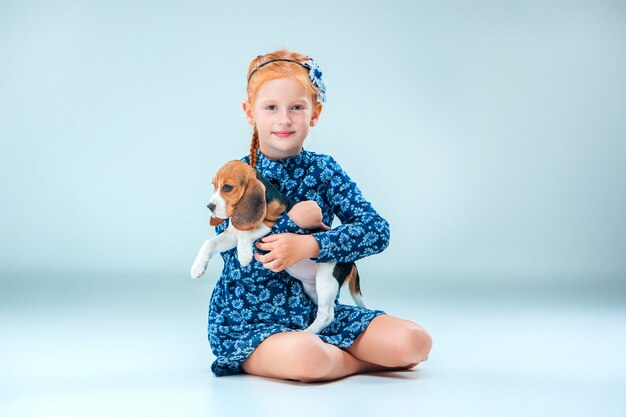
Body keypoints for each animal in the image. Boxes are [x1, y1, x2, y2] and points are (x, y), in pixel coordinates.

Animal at [190, 158, 366, 334]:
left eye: (227, 187)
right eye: (214, 185)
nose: (210, 206)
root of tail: (352, 262)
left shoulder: (271, 224)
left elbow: (245, 234)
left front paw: (244, 255)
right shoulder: (232, 234)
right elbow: (209, 243)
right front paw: (197, 267)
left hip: (326, 280)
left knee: (327, 315)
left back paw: (306, 333)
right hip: (312, 288)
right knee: (330, 310)